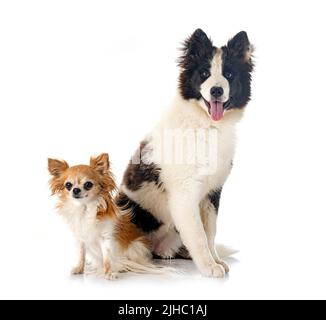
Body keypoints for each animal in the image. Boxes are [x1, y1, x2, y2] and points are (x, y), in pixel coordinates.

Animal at [117, 30, 255, 278]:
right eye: (204, 73)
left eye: (229, 74)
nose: (216, 90)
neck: (206, 126)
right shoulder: (184, 194)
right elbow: (198, 235)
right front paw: (209, 267)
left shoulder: (212, 192)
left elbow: (210, 233)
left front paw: (215, 261)